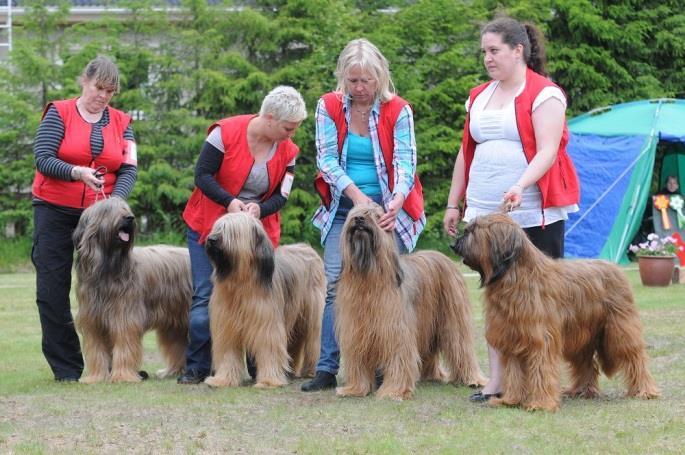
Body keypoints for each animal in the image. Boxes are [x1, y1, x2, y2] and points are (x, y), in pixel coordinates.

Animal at [72, 198, 191, 382]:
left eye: (126, 208)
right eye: (107, 210)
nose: (130, 218)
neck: (107, 267)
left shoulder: (124, 315)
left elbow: (124, 344)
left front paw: (122, 376)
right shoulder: (93, 319)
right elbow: (96, 349)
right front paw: (96, 377)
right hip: (175, 320)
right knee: (178, 344)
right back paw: (173, 371)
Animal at [202, 213, 324, 388]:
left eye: (231, 231)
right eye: (217, 227)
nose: (211, 239)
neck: (241, 282)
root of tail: (306, 247)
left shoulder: (267, 324)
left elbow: (269, 347)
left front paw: (268, 381)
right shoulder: (227, 325)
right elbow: (228, 351)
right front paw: (223, 379)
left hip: (312, 315)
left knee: (313, 341)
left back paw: (311, 371)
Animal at [336, 205, 486, 400]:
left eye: (376, 215)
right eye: (354, 214)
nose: (360, 219)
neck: (368, 277)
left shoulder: (395, 329)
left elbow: (399, 356)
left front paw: (393, 390)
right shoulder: (356, 330)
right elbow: (358, 360)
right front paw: (355, 389)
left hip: (453, 317)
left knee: (461, 346)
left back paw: (472, 379)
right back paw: (431, 375)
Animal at [452, 215, 660, 414]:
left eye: (473, 231)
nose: (454, 244)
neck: (517, 276)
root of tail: (615, 267)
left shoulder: (539, 339)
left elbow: (541, 370)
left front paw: (540, 404)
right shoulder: (512, 338)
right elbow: (513, 373)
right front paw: (510, 400)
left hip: (619, 329)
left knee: (635, 356)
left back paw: (644, 390)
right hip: (581, 335)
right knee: (586, 363)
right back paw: (581, 390)